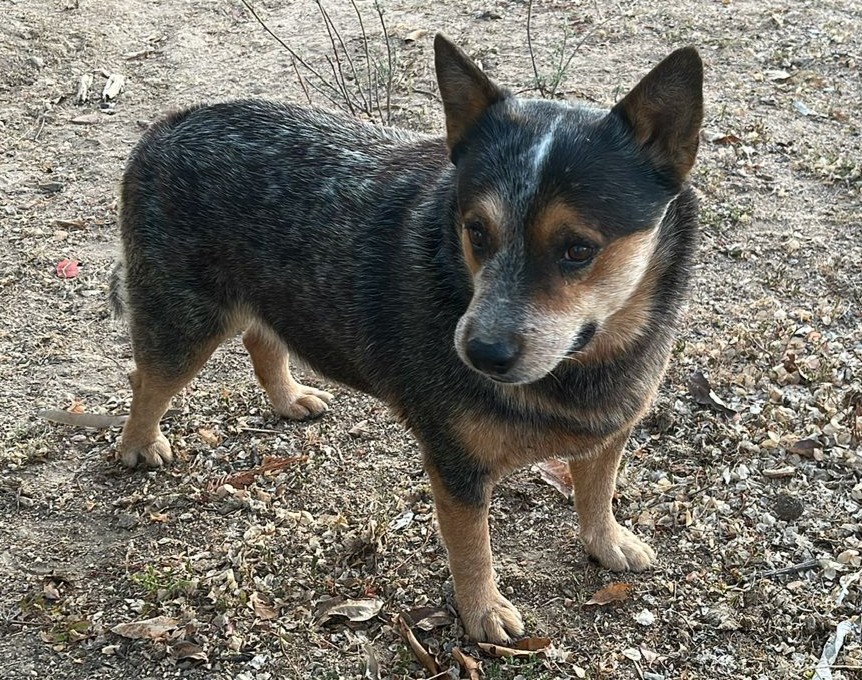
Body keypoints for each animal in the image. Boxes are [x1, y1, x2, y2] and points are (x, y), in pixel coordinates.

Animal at [109, 34, 703, 643]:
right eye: (476, 231)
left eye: (579, 248)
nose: (480, 353)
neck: (589, 361)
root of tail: (172, 121)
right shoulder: (457, 465)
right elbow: (471, 547)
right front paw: (482, 610)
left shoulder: (611, 428)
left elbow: (598, 490)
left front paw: (606, 541)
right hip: (185, 320)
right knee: (148, 377)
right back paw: (139, 443)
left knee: (262, 339)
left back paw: (287, 396)